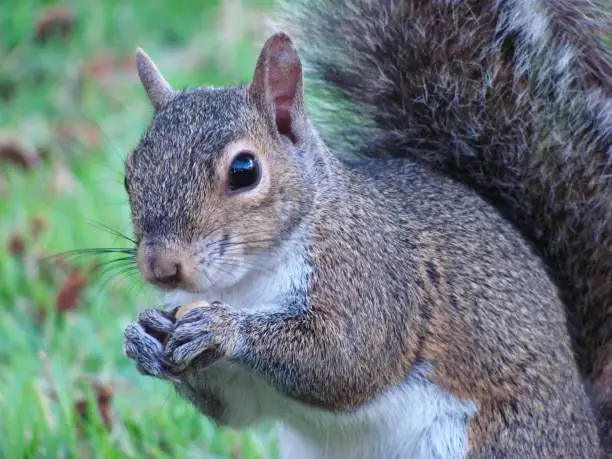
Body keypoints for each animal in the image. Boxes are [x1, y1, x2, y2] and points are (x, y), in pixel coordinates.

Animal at [120, 0, 612, 458]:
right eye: (129, 173)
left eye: (245, 170)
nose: (161, 267)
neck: (246, 282)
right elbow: (238, 408)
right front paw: (142, 338)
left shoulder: (372, 275)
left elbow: (346, 359)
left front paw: (224, 328)